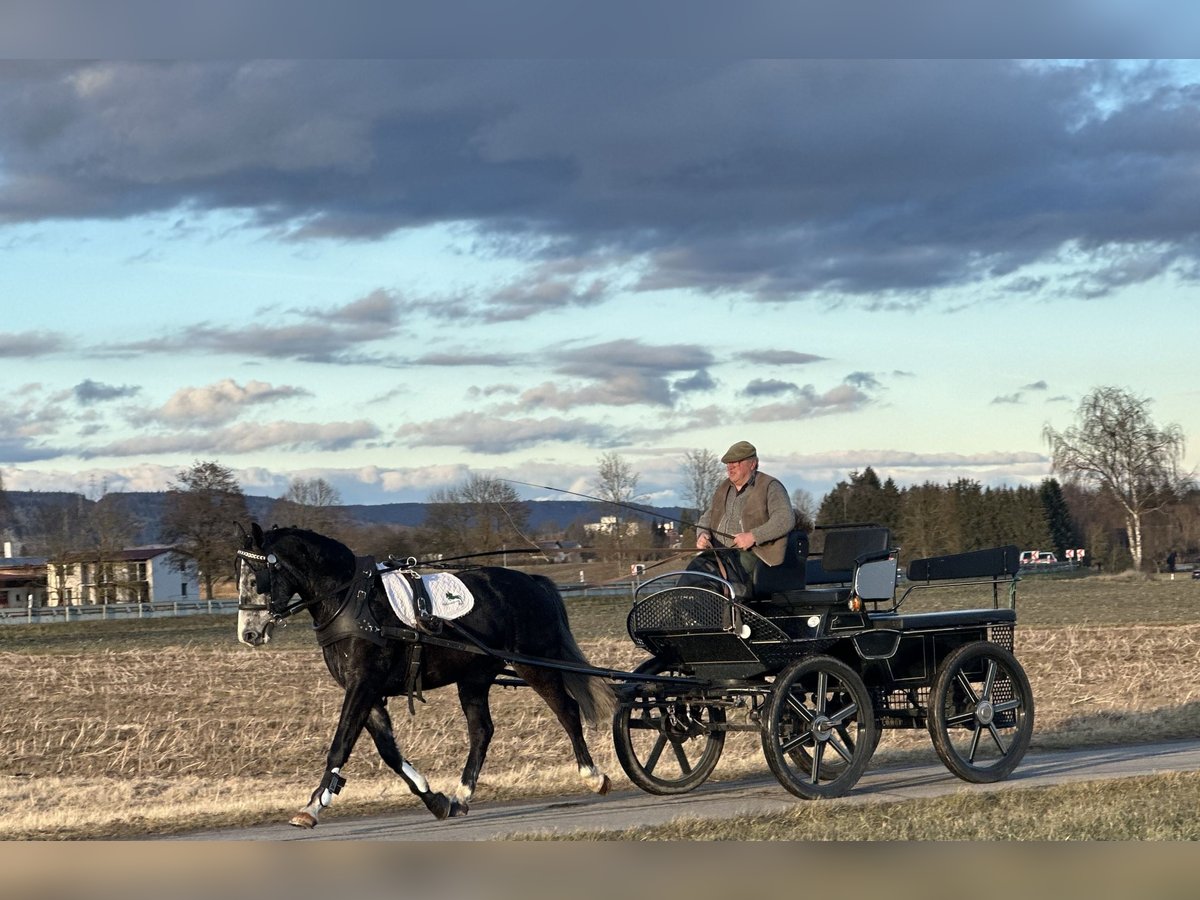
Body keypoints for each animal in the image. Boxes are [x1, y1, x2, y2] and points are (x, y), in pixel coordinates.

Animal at [232, 520, 614, 830]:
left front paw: (312, 806)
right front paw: (436, 800)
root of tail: (532, 581)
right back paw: (462, 795)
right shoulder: (369, 692)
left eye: (255, 577)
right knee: (482, 731)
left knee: (566, 710)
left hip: (534, 664)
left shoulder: (363, 684)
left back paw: (593, 776)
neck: (351, 601)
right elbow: (389, 752)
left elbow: (341, 744)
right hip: (475, 676)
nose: (248, 634)